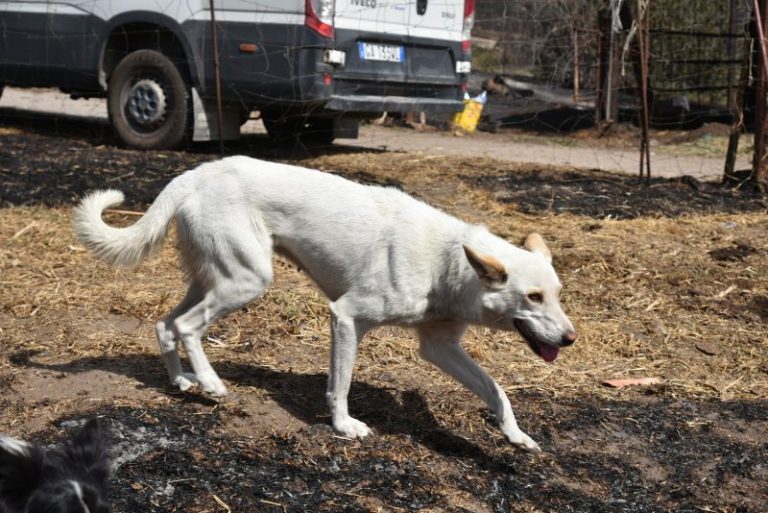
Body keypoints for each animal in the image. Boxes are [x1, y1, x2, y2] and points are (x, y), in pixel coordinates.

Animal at [75, 155, 576, 448]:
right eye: (533, 297)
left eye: (557, 295)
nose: (571, 338)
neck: (447, 262)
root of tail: (199, 172)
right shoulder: (347, 317)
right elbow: (341, 384)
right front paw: (343, 426)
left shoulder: (440, 347)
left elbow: (496, 389)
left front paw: (515, 435)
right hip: (246, 281)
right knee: (186, 327)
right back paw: (212, 384)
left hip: (214, 280)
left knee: (165, 324)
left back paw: (182, 382)